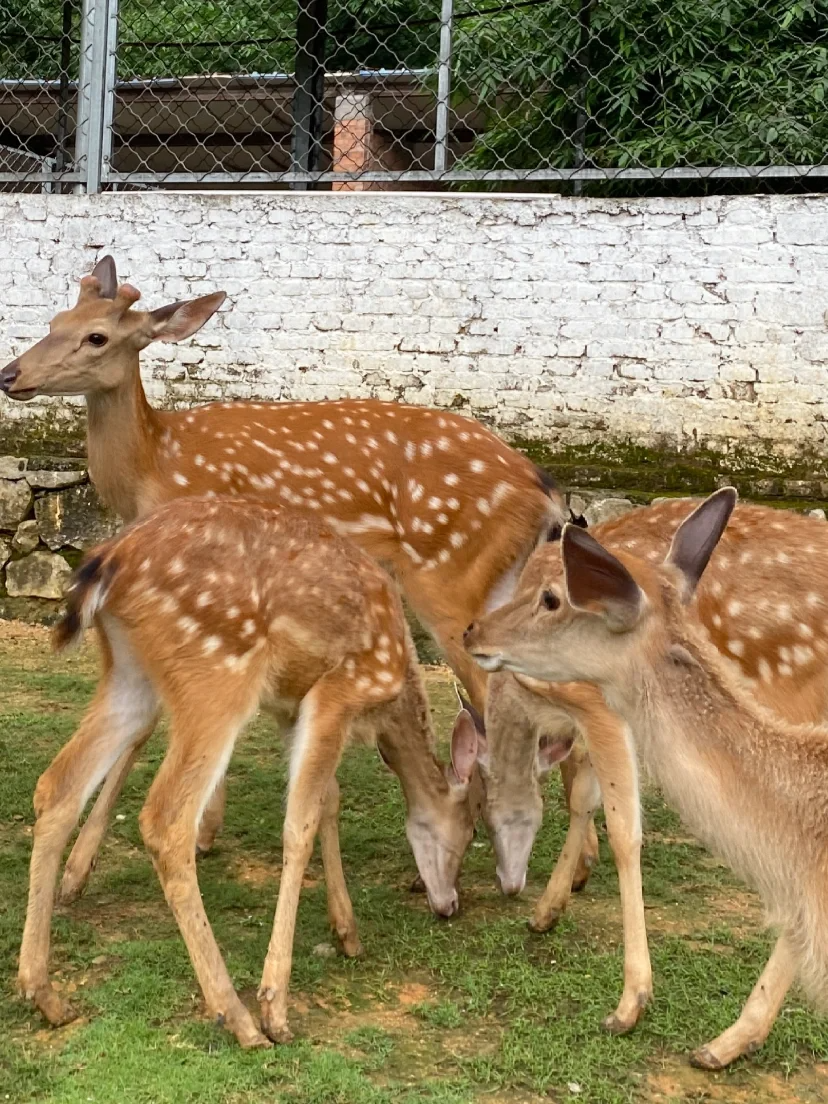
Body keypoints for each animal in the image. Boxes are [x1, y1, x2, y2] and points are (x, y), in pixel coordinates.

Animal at [0, 256, 591, 905]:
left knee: (501, 700)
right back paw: (571, 872)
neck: (153, 469)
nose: (10, 374)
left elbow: (149, 722)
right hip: (500, 584)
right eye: (54, 320)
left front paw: (87, 870)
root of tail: (547, 493)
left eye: (97, 336)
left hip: (450, 577)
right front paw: (198, 834)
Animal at [17, 496, 479, 1046]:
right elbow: (299, 822)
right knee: (165, 819)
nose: (449, 905)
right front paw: (275, 1006)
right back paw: (237, 1016)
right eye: (471, 831)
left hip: (129, 675)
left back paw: (45, 994)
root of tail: (108, 561)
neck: (391, 685)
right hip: (218, 674)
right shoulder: (338, 692)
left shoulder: (289, 706)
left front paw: (347, 933)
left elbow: (329, 799)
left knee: (57, 787)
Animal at [463, 487, 828, 1064]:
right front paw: (552, 904)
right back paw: (726, 1041)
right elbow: (584, 796)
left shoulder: (596, 707)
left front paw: (629, 1001)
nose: (473, 628)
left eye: (553, 598)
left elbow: (621, 828)